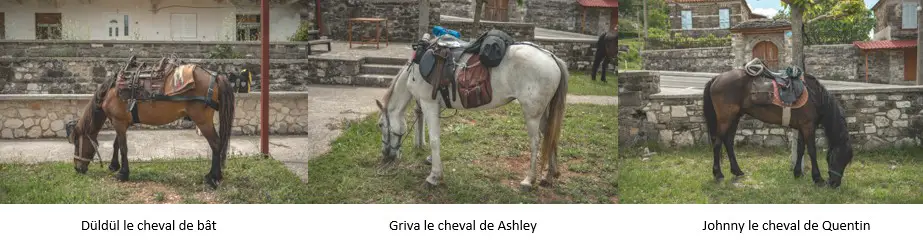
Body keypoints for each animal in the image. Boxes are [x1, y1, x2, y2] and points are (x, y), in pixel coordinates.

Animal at [66, 61, 235, 188]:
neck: (111, 91)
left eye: (77, 143)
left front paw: (123, 173)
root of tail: (215, 76)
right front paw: (114, 166)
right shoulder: (121, 122)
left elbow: (123, 148)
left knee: (216, 144)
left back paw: (213, 178)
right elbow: (116, 144)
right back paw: (213, 176)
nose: (77, 168)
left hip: (202, 121)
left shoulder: (119, 122)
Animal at [376, 37, 572, 191]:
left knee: (536, 142)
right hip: (543, 112)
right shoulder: (437, 106)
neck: (416, 68)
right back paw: (549, 175)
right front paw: (431, 161)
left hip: (532, 114)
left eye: (380, 125)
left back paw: (529, 180)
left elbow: (434, 140)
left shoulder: (428, 104)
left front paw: (434, 177)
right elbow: (436, 139)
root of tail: (551, 57)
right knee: (550, 136)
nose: (386, 155)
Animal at [704, 69, 856, 188]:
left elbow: (800, 150)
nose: (835, 183)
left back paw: (737, 171)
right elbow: (812, 151)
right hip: (725, 119)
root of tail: (717, 78)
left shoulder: (802, 126)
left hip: (735, 117)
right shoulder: (808, 126)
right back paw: (718, 174)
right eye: (839, 157)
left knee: (728, 142)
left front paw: (797, 173)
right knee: (717, 143)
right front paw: (817, 178)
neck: (815, 96)